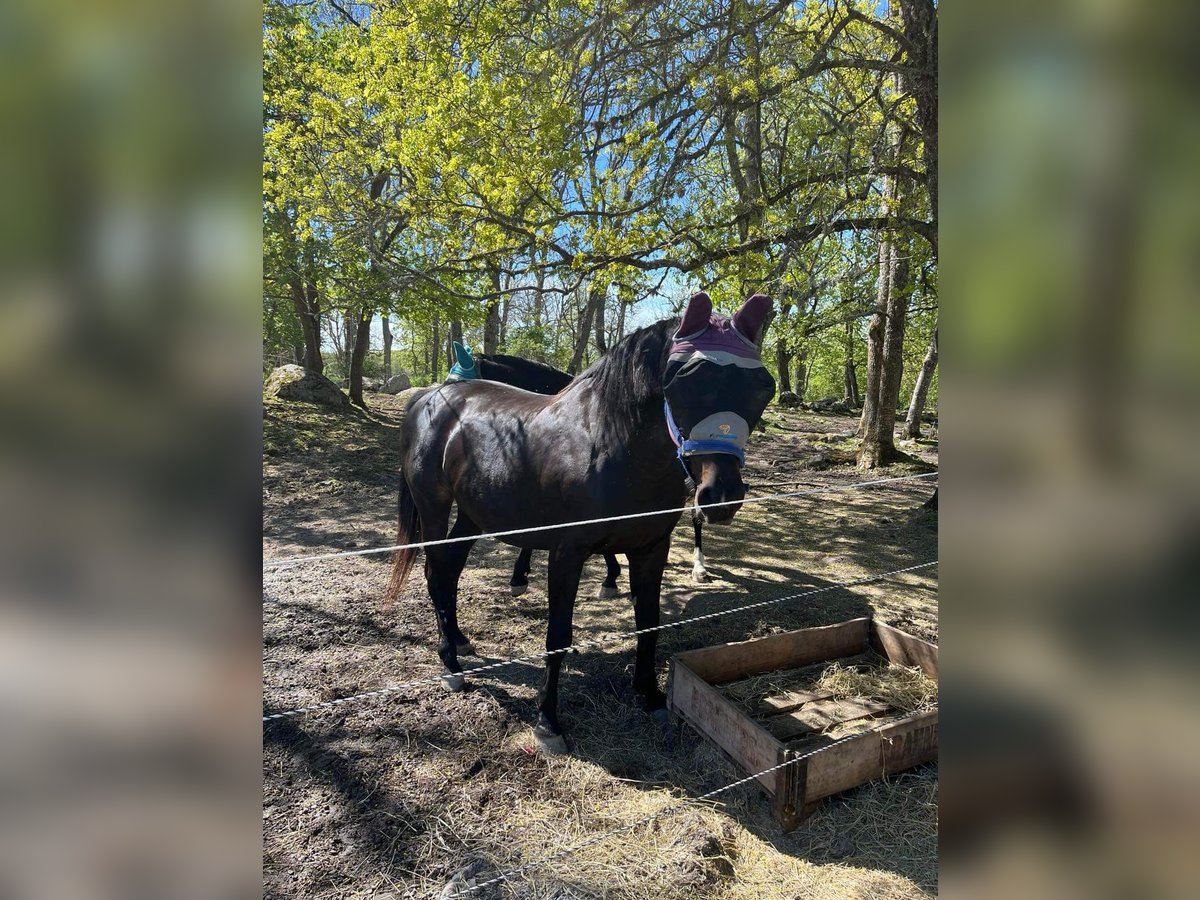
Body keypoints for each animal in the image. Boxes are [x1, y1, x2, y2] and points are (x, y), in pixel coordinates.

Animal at [386, 290, 777, 753]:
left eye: (762, 388)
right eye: (682, 380)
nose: (721, 496)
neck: (606, 445)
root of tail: (432, 396)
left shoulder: (651, 549)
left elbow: (649, 621)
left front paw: (649, 695)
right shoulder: (566, 553)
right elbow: (558, 635)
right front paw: (548, 722)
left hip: (473, 514)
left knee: (449, 573)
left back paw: (460, 642)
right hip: (434, 506)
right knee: (434, 573)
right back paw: (450, 663)